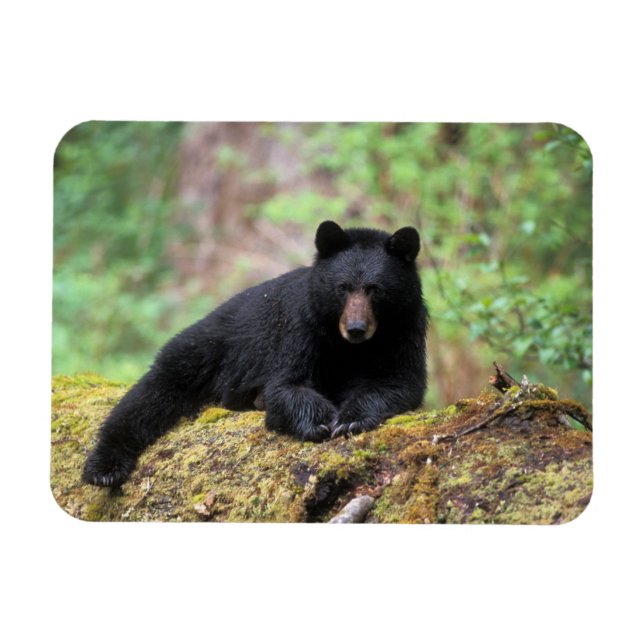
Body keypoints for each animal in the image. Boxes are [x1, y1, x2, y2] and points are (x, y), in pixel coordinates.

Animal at [82, 220, 428, 487]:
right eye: (342, 288)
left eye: (375, 289)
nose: (356, 328)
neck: (350, 348)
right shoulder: (301, 327)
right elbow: (287, 384)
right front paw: (319, 422)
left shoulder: (405, 330)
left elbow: (399, 381)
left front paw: (351, 419)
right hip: (203, 350)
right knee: (148, 396)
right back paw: (104, 468)